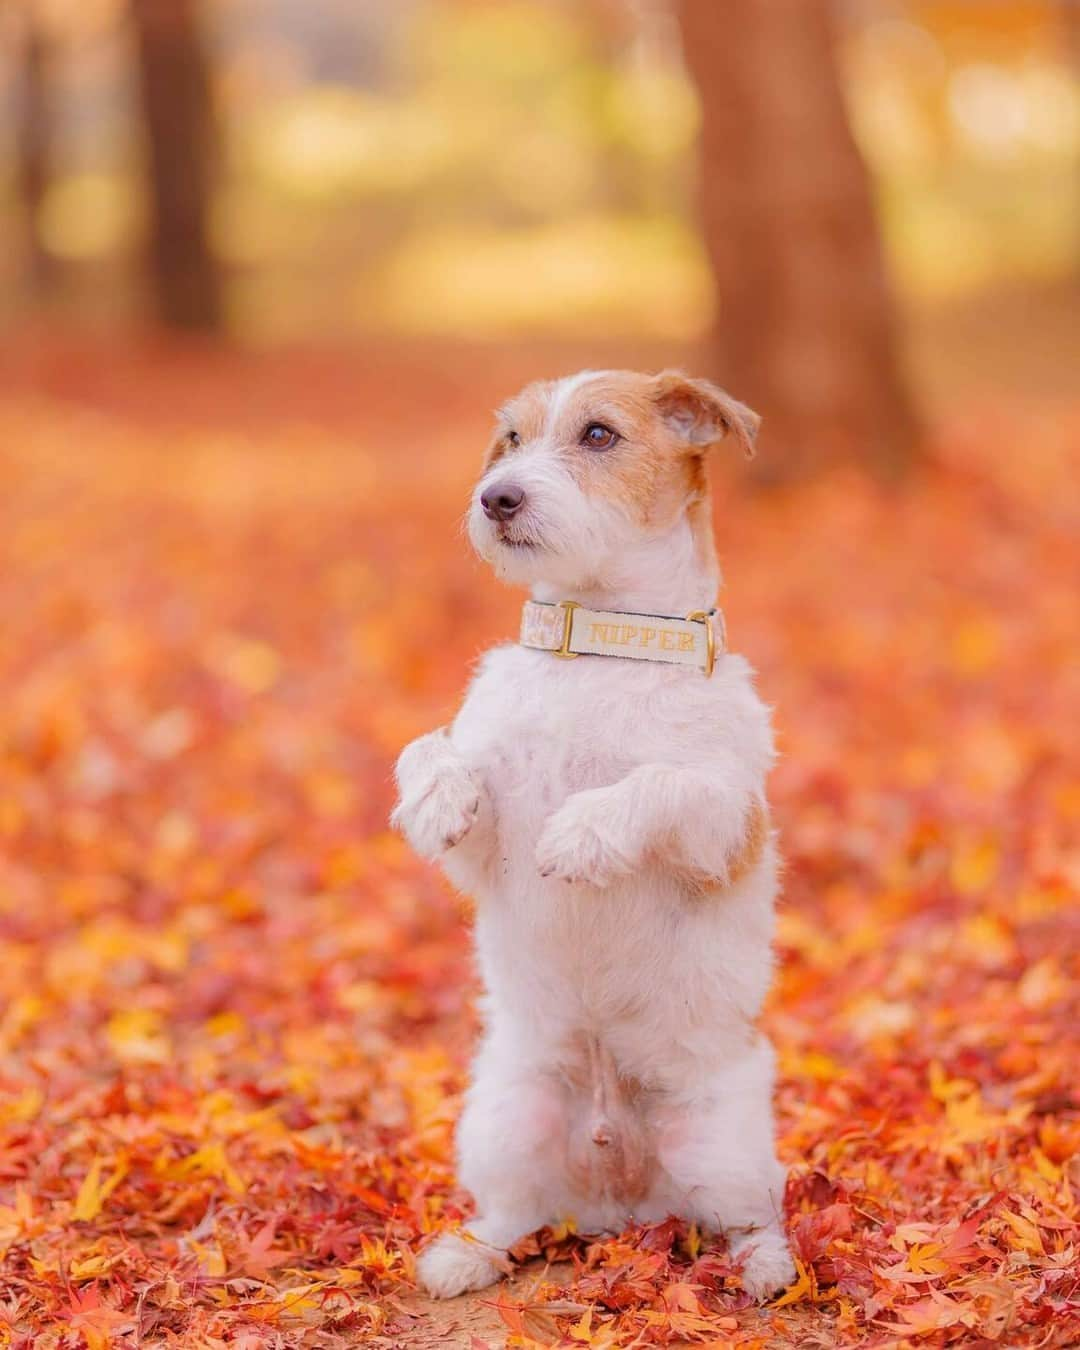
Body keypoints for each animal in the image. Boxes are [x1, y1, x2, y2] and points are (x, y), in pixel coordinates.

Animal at [391, 367, 799, 1296]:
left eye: (600, 435)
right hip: (502, 1120)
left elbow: (657, 782)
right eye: (511, 438)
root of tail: (619, 1200)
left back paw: (766, 1267)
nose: (496, 497)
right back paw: (462, 1256)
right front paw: (435, 798)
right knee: (513, 1217)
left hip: (722, 1147)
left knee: (751, 1218)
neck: (602, 650)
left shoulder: (723, 828)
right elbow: (427, 748)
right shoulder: (483, 852)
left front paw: (583, 833)